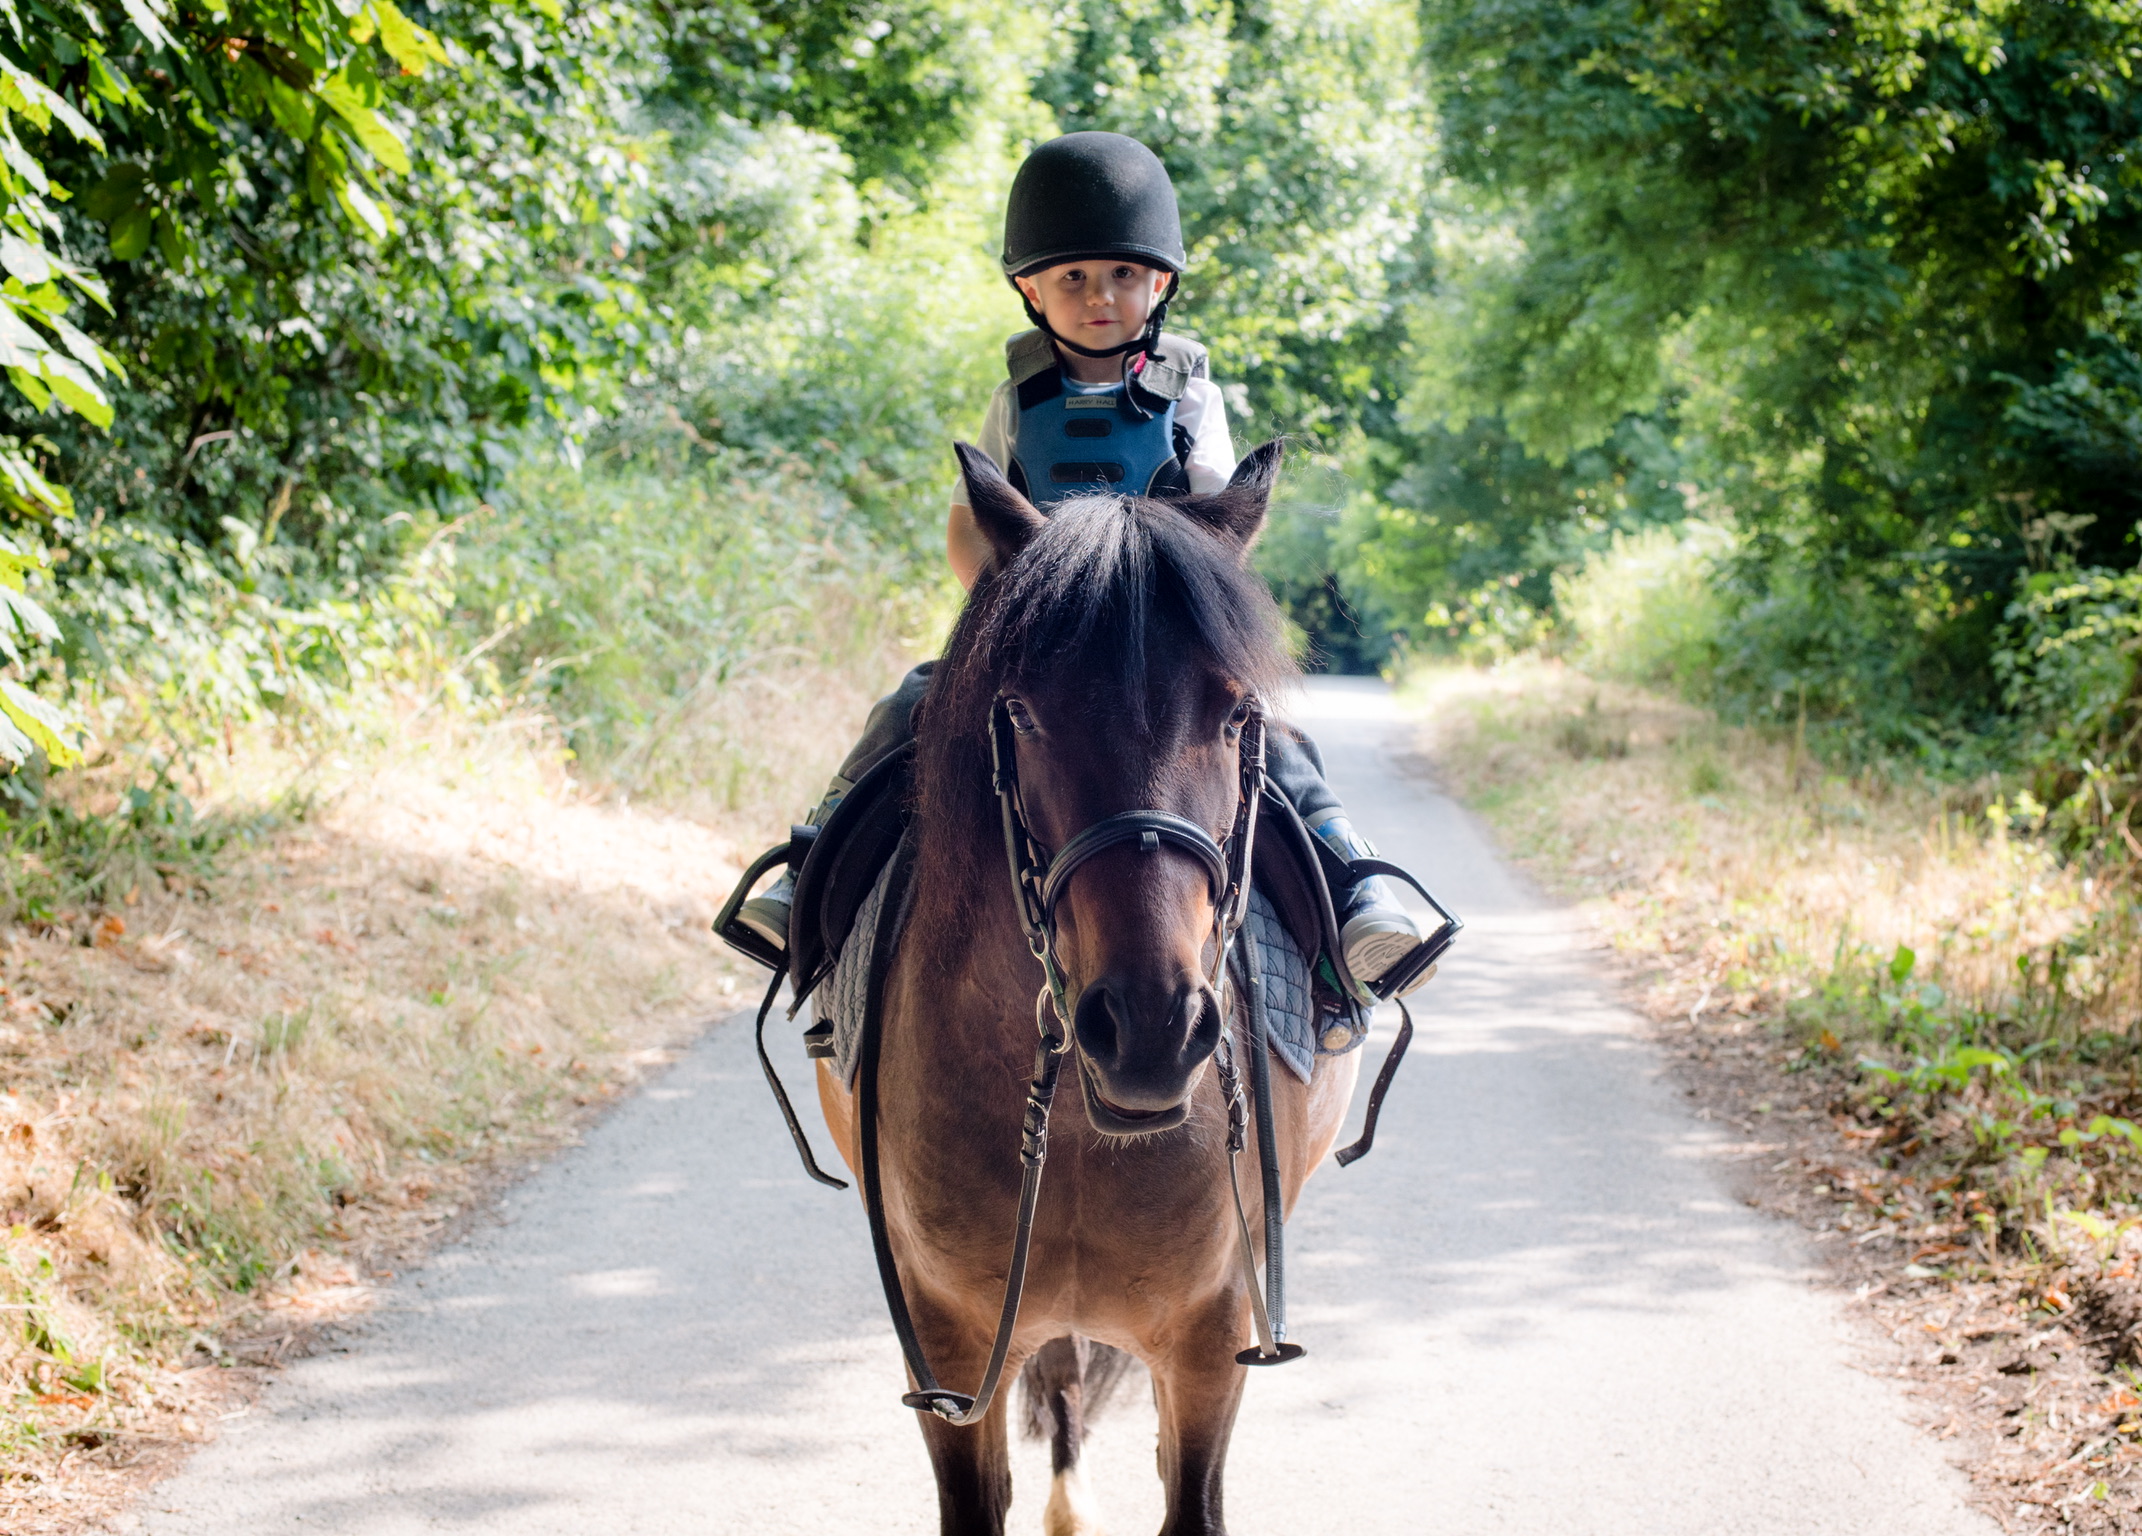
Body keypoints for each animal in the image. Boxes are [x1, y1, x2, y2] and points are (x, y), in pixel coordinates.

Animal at [809, 443, 1362, 1533]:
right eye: (1021, 713)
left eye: (1238, 714)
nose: (1151, 1030)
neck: (1072, 1122)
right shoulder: (946, 1348)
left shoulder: (1209, 1345)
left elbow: (1190, 1500)